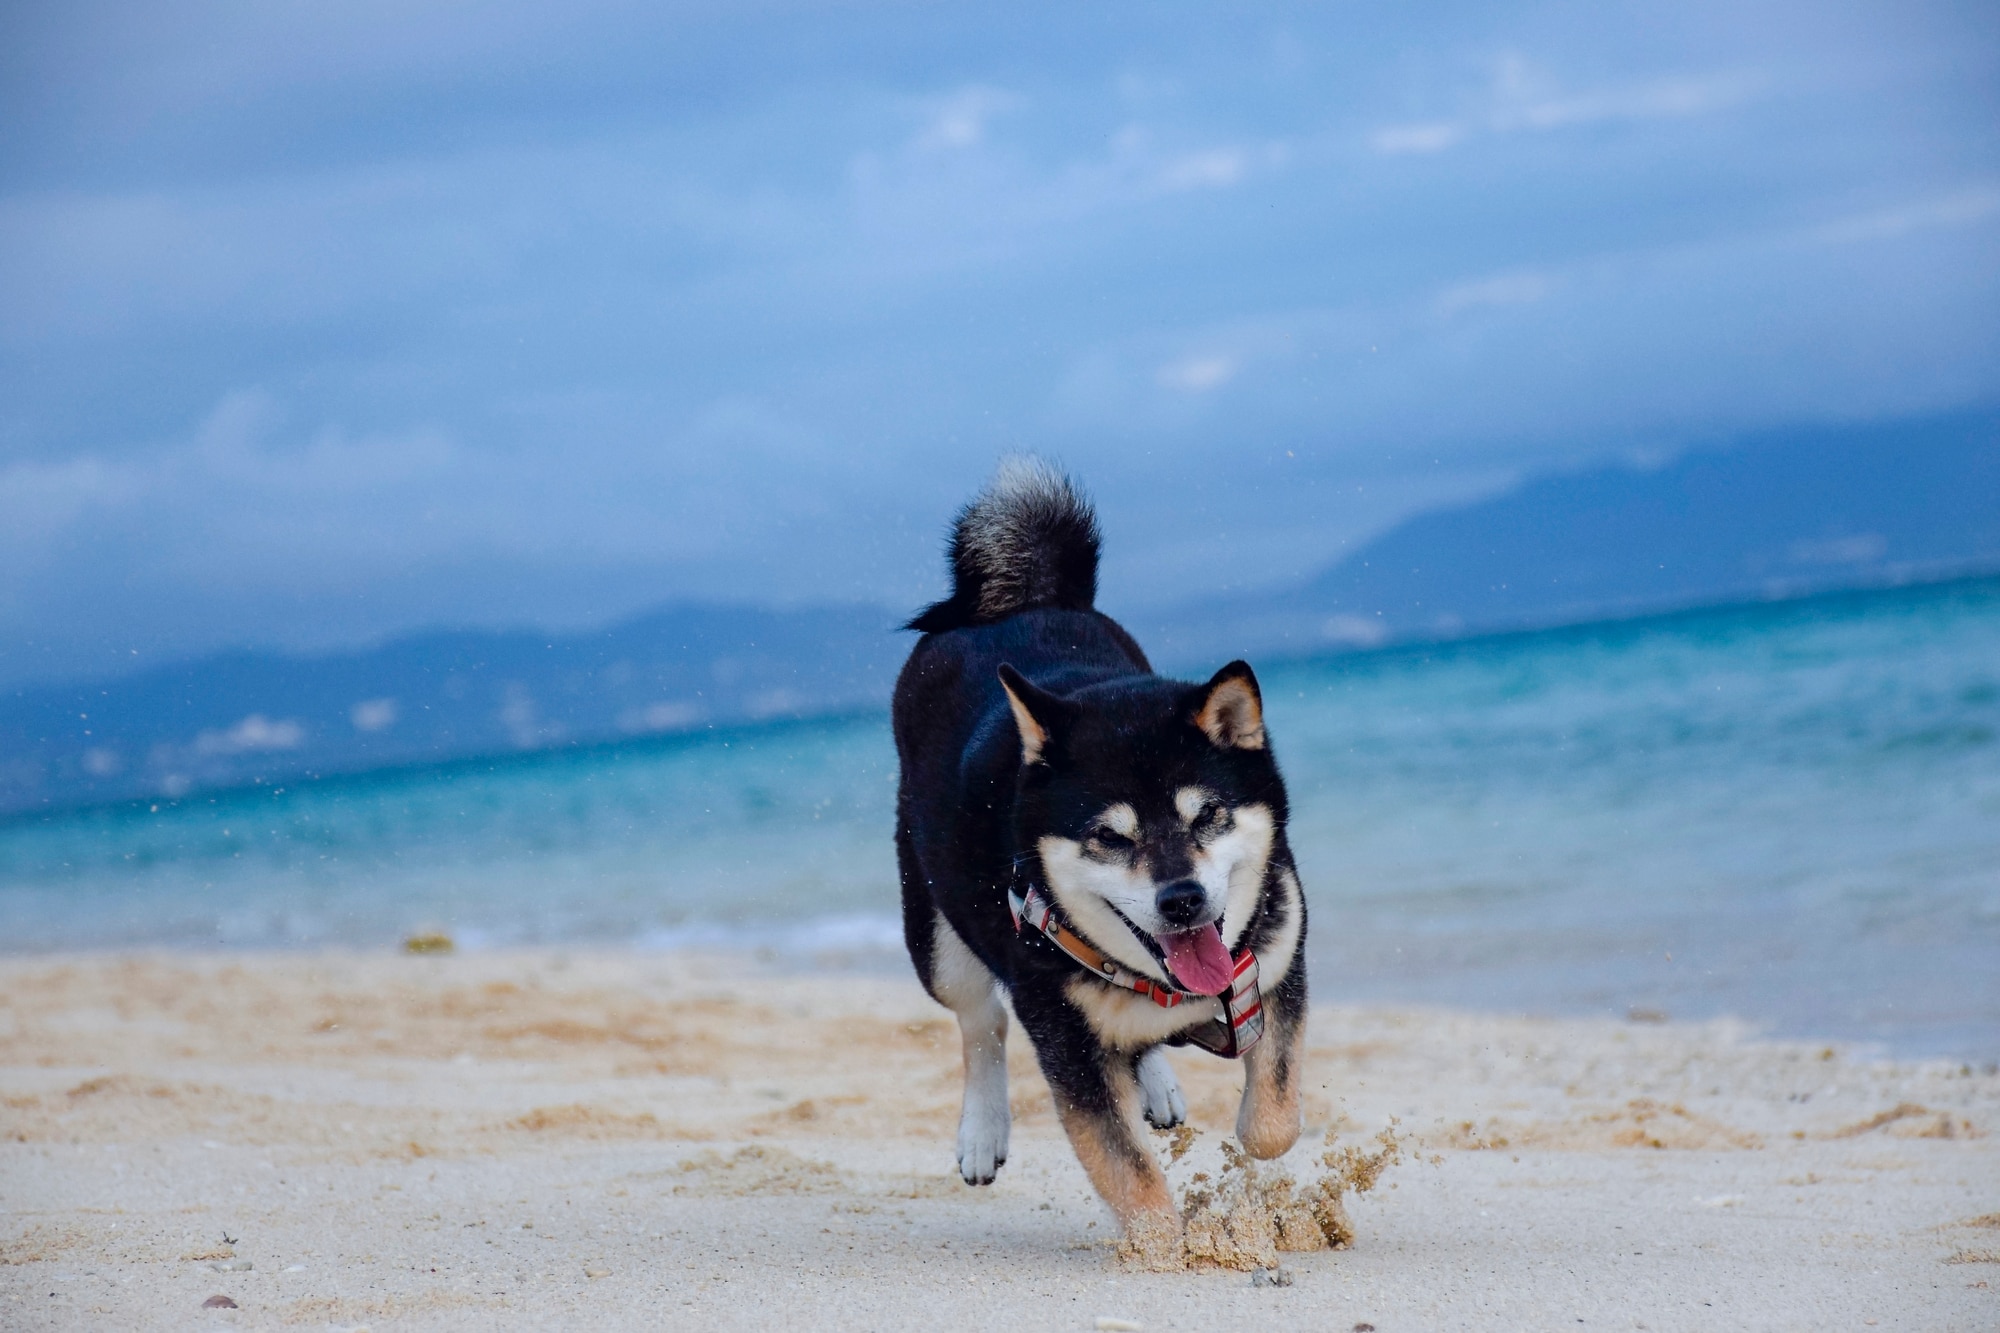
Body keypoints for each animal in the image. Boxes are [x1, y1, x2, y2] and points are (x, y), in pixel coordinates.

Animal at [896, 456, 1312, 1232]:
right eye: (1109, 837)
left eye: (1208, 815)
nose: (1182, 900)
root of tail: (1013, 604)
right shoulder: (1061, 1034)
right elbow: (1123, 1168)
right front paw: (1161, 1243)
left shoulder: (1274, 967)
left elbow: (1273, 1120)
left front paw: (1250, 1133)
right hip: (934, 924)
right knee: (979, 1019)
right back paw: (982, 1131)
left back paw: (1156, 1082)